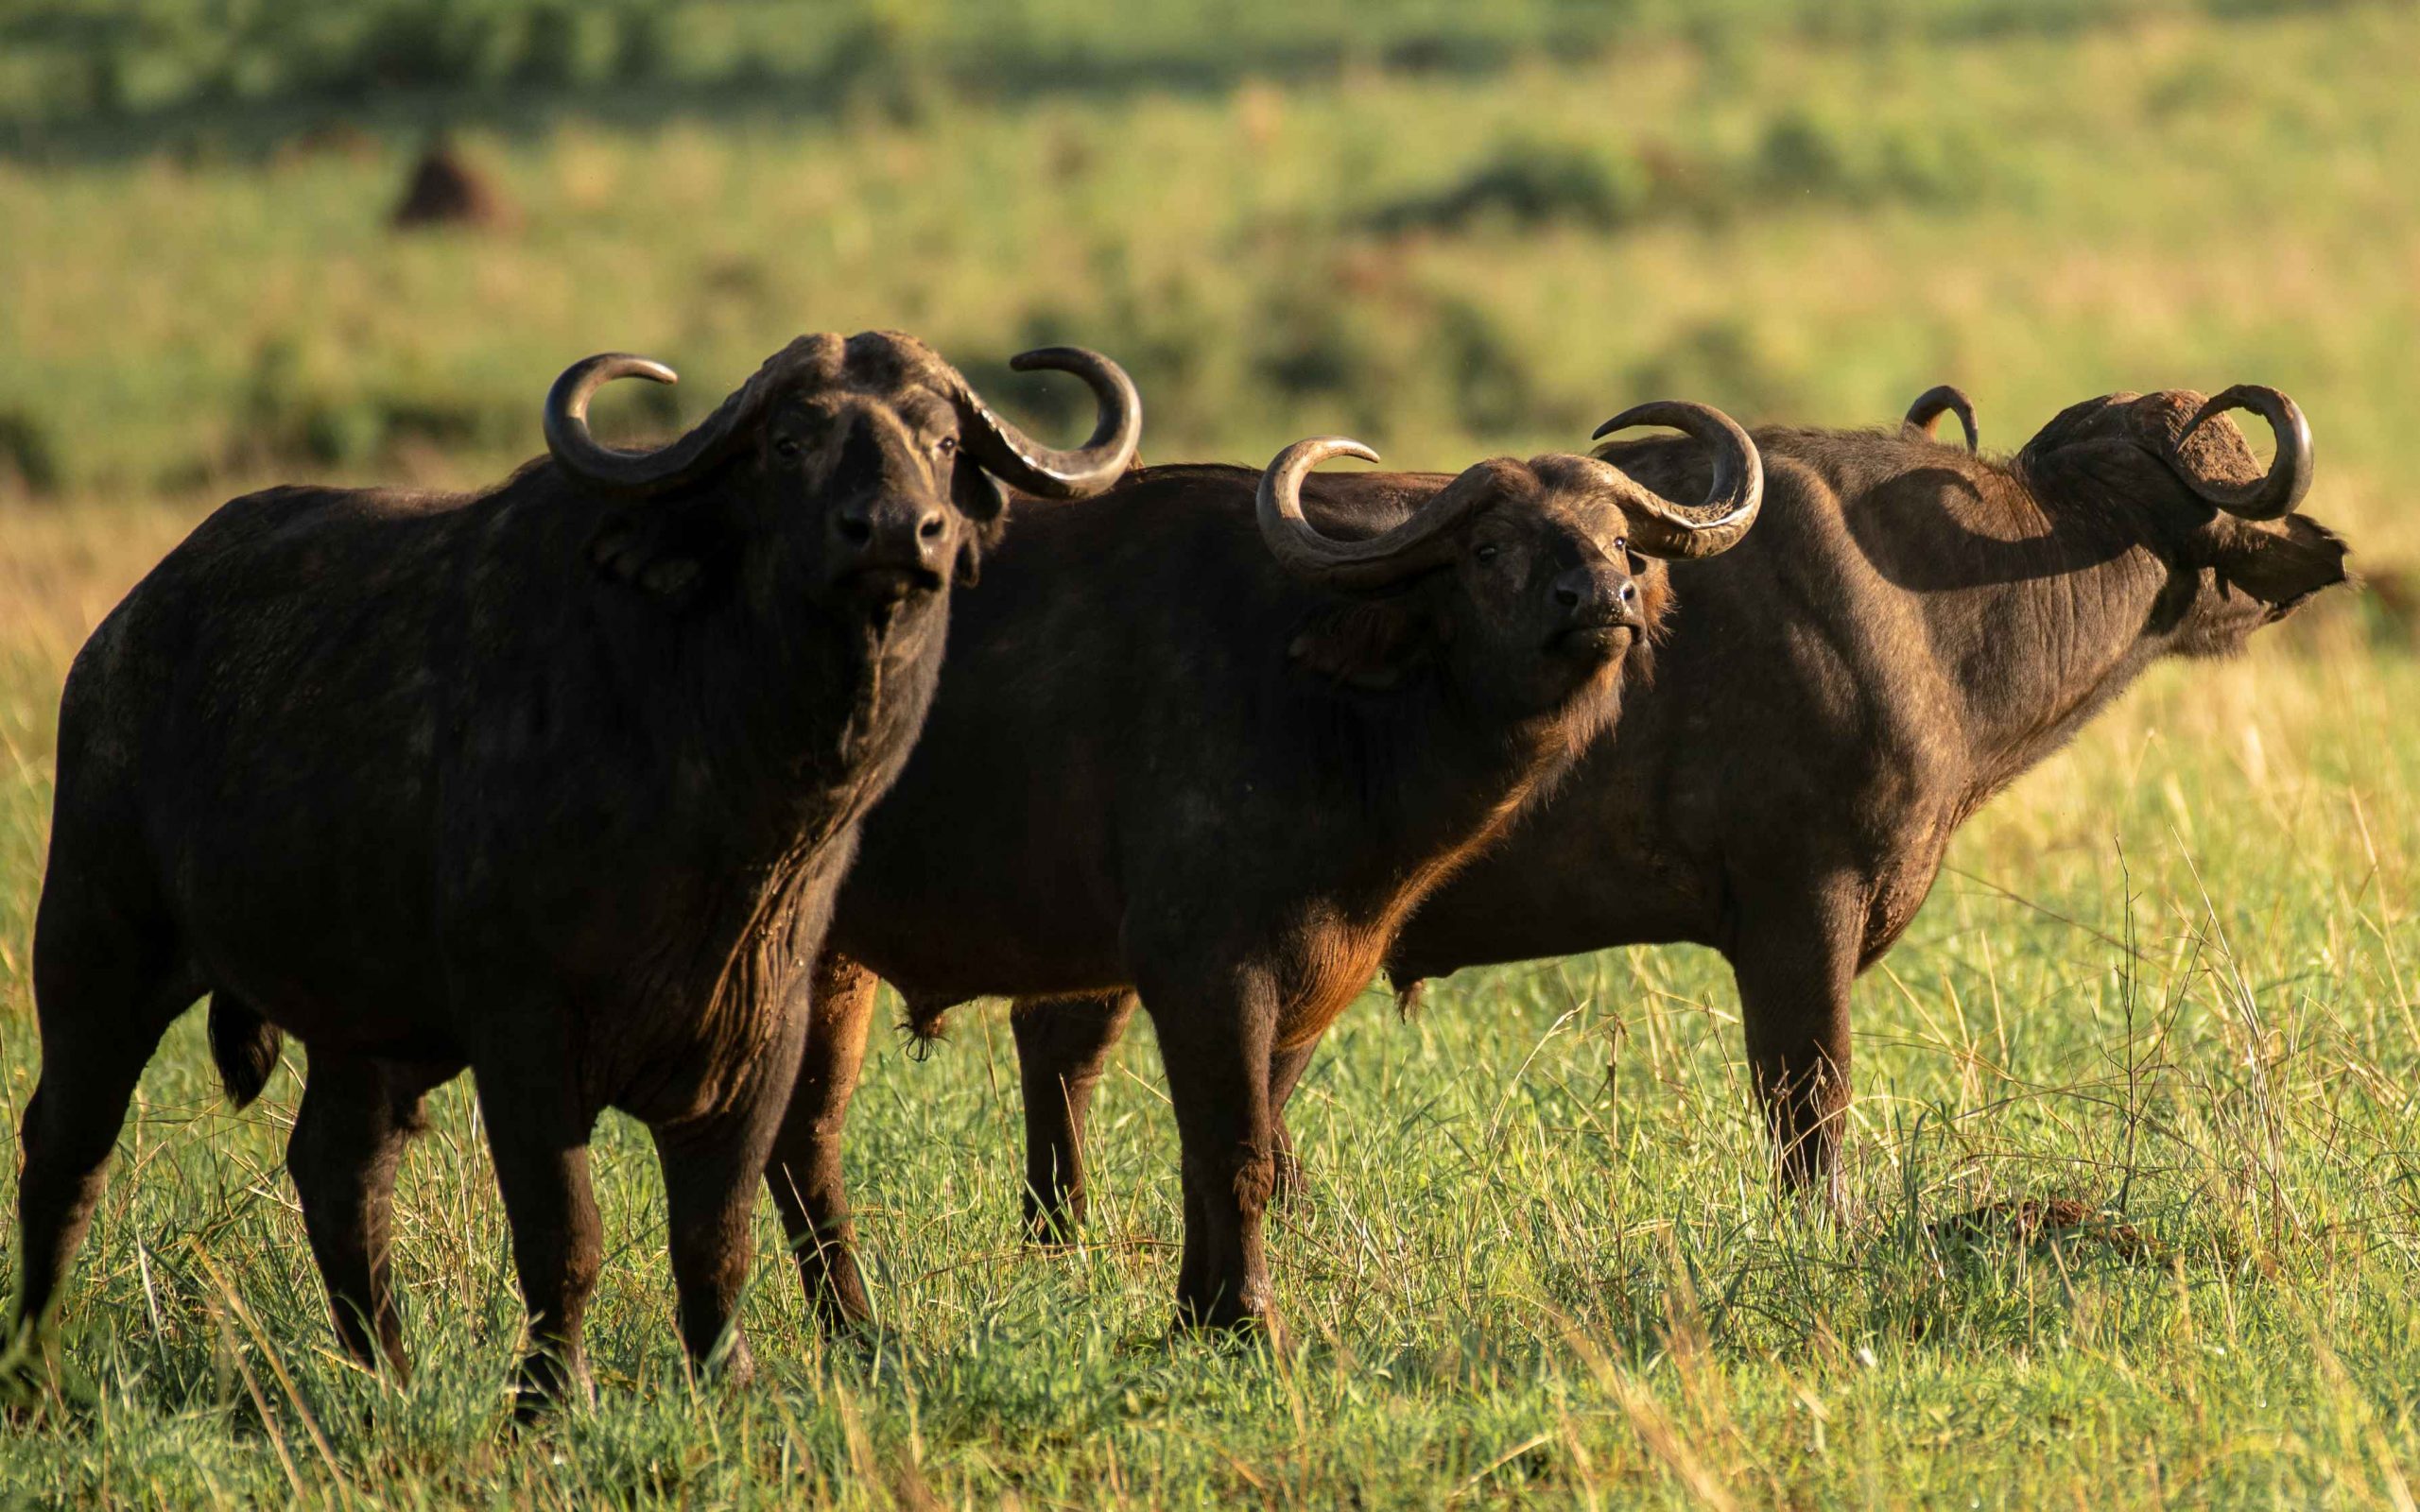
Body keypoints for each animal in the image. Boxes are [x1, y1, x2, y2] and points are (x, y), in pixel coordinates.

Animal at [769, 401, 1761, 1335]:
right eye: (1490, 548)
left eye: (1619, 538)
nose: (1603, 597)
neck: (1326, 709)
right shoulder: (1204, 968)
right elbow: (1238, 1152)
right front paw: (1252, 1322)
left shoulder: (1305, 974)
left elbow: (1211, 1155)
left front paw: (1197, 1316)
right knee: (802, 1138)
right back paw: (854, 1327)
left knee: (799, 1138)